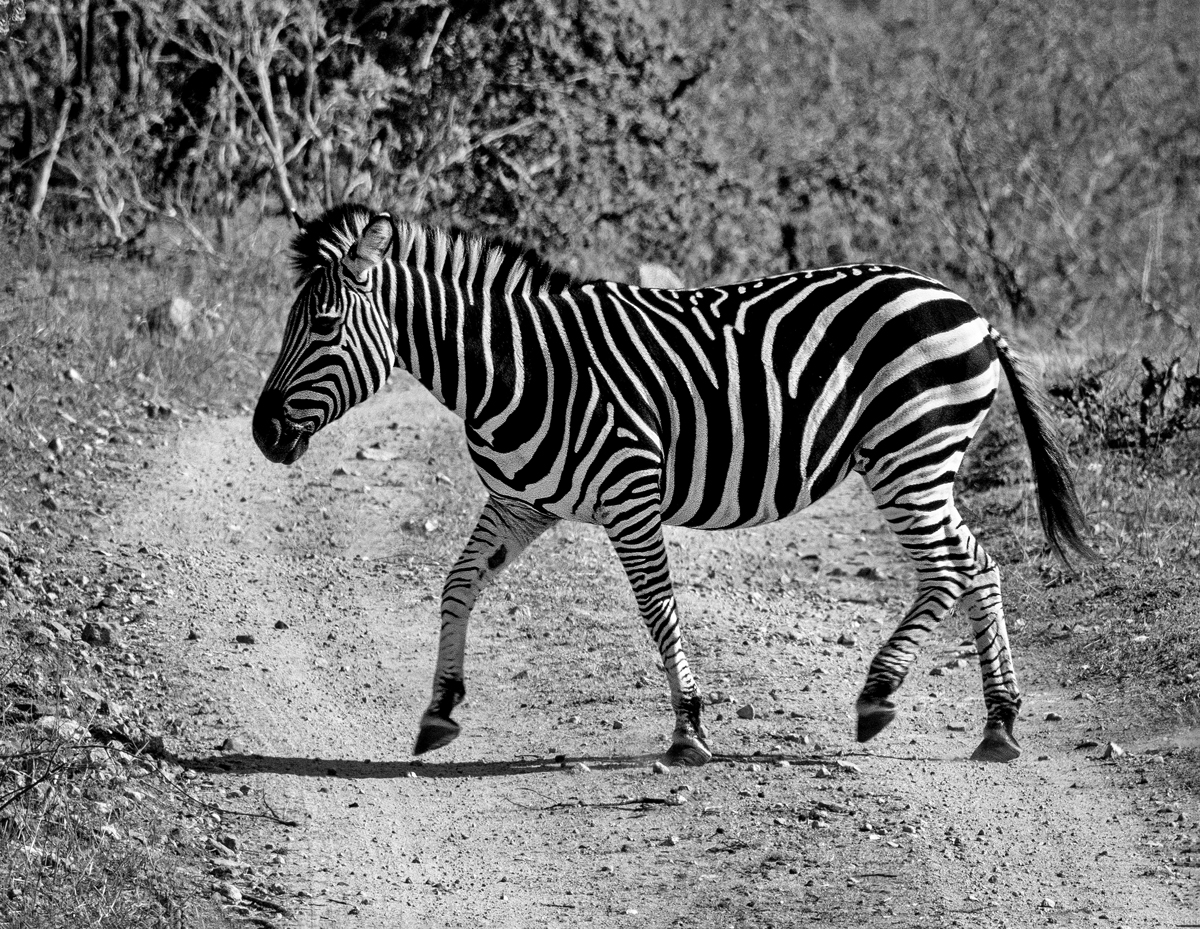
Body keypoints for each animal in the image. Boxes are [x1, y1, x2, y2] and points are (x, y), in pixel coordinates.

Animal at [253, 203, 1094, 767]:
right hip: (923, 460)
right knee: (979, 563)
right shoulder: (519, 503)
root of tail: (969, 309)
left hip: (908, 451)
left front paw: (689, 725)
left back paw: (879, 694)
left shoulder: (630, 494)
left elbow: (658, 611)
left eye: (323, 325)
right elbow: (458, 582)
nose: (263, 432)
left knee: (949, 567)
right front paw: (438, 708)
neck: (518, 366)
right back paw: (999, 723)